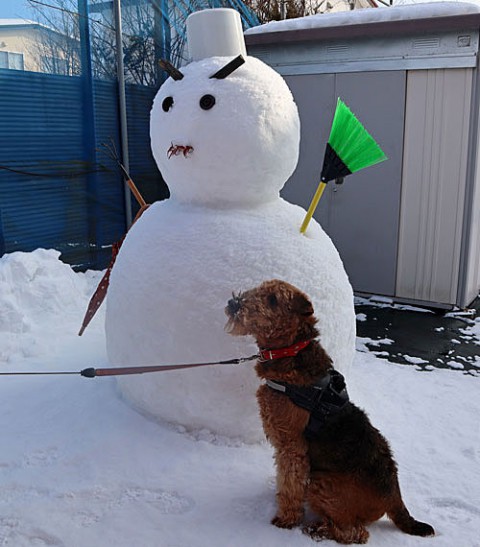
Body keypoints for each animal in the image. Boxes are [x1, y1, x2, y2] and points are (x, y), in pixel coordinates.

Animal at [225, 280, 436, 544]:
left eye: (273, 299)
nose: (233, 303)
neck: (291, 352)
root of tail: (394, 497)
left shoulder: (292, 447)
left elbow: (291, 483)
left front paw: (286, 519)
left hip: (321, 481)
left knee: (355, 532)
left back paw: (317, 529)